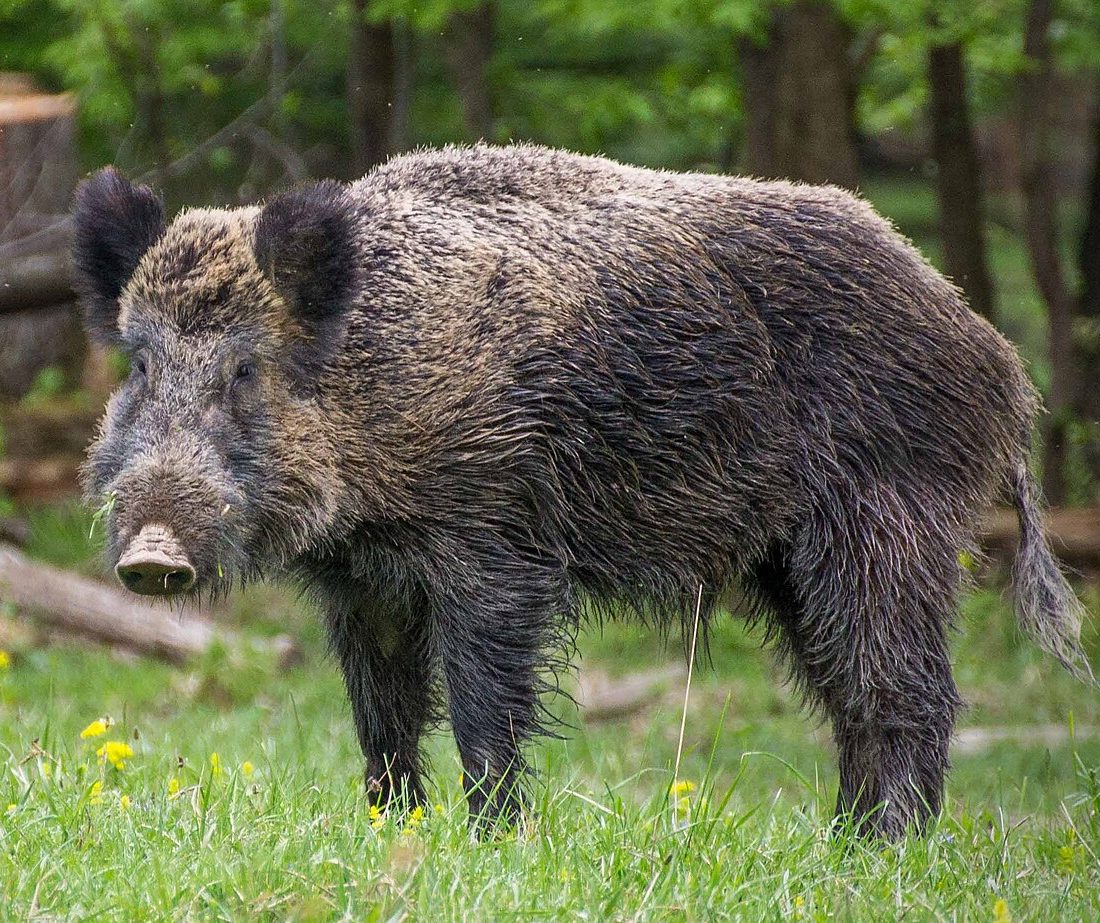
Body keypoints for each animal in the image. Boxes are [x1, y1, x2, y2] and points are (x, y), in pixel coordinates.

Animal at [72, 143, 1091, 838]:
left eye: (245, 369)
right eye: (138, 363)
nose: (152, 554)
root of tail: (998, 360)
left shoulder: (493, 541)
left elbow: (484, 706)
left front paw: (489, 842)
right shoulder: (364, 583)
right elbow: (381, 715)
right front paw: (392, 826)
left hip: (887, 516)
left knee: (905, 687)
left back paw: (885, 850)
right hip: (790, 560)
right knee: (847, 692)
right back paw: (842, 842)